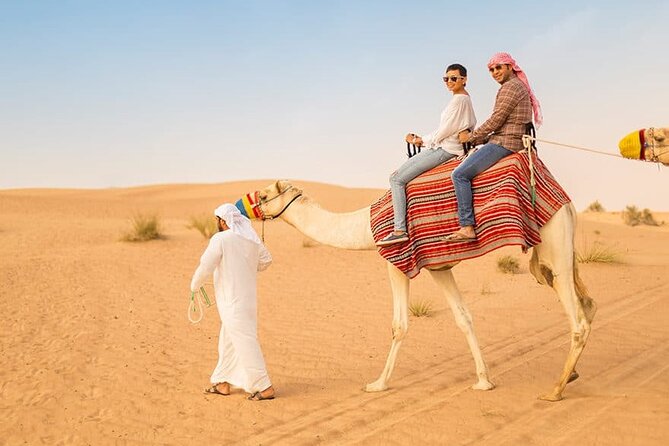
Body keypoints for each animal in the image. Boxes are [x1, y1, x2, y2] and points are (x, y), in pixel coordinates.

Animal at [242, 180, 597, 401]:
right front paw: (484, 381)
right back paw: (572, 375)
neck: (366, 227)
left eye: (263, 196)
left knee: (577, 318)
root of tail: (567, 204)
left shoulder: (396, 262)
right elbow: (463, 317)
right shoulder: (439, 267)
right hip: (557, 254)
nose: (244, 205)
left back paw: (555, 390)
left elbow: (399, 325)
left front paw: (378, 384)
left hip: (553, 246)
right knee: (588, 304)